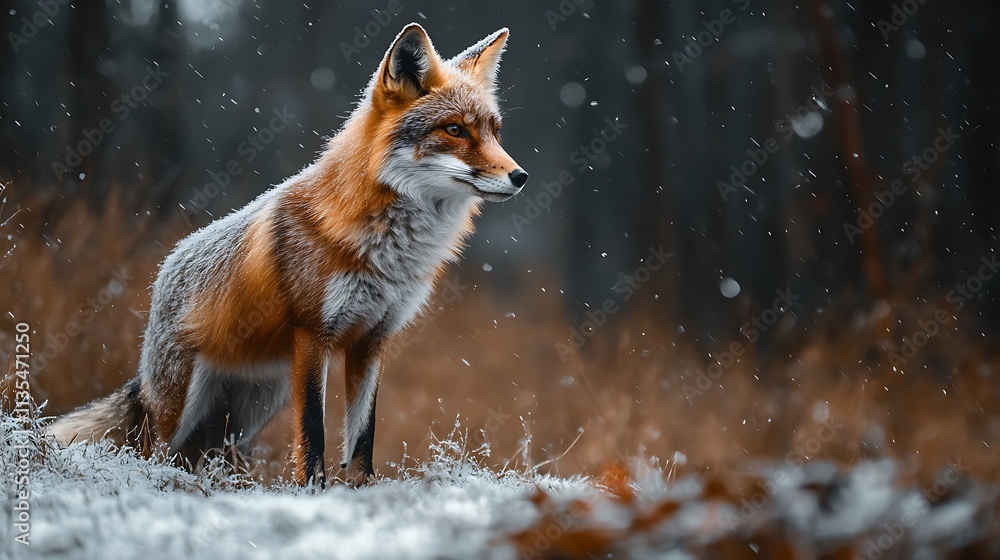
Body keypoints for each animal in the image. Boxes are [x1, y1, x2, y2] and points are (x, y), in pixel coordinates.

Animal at [46, 23, 528, 487]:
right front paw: (313, 490)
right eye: (455, 130)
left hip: (247, 414)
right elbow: (313, 431)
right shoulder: (314, 333)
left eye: (495, 132)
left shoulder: (373, 339)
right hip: (179, 410)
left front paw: (361, 490)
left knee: (201, 457)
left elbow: (363, 436)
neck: (389, 252)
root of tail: (166, 269)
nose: (520, 176)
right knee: (150, 453)